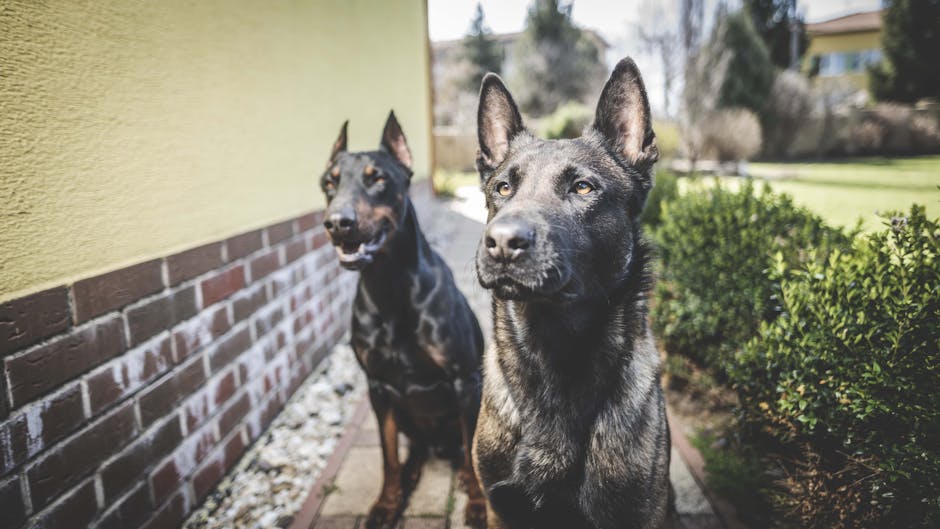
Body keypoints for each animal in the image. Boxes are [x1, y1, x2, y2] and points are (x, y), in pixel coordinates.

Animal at [322, 111, 484, 528]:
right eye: (329, 182)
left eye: (377, 178)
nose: (337, 222)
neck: (389, 285)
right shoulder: (378, 386)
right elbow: (388, 454)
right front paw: (385, 504)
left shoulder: (464, 379)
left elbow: (473, 448)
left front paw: (478, 504)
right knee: (415, 449)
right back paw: (412, 475)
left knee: (464, 448)